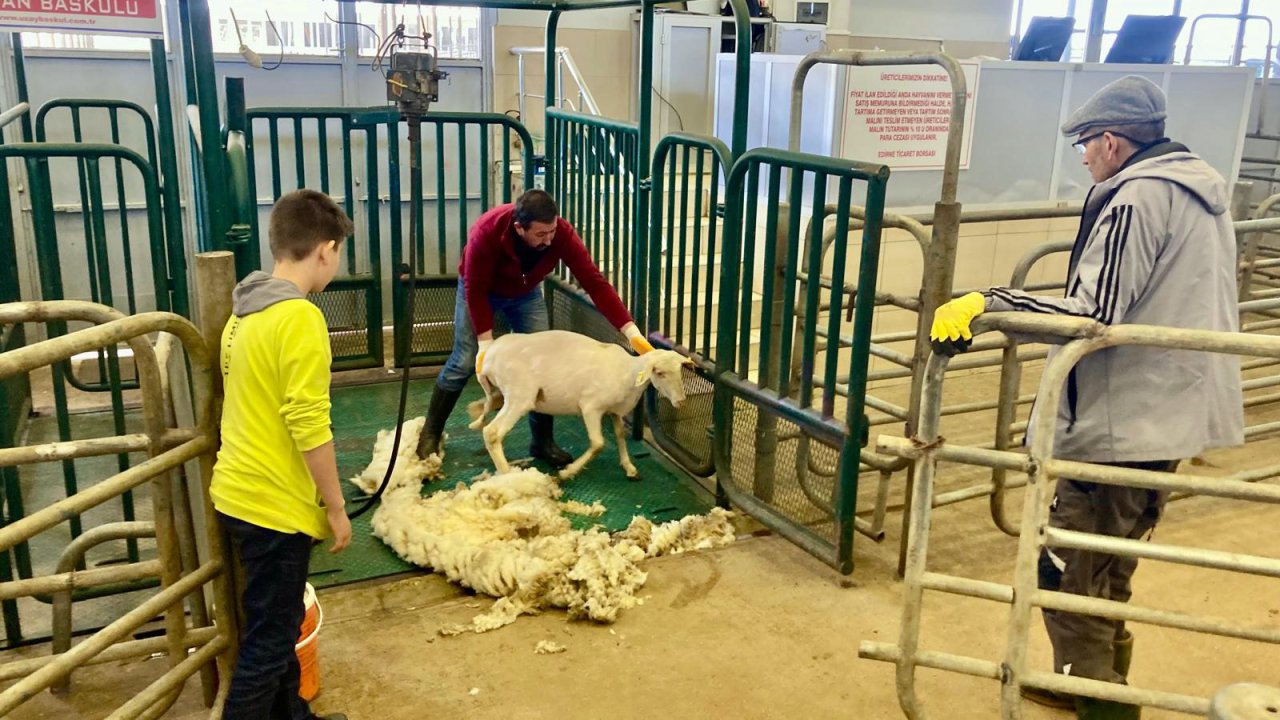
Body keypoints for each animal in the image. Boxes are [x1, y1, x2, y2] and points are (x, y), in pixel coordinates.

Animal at [468, 330, 691, 476]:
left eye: (679, 370)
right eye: (659, 373)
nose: (681, 402)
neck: (628, 373)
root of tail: (488, 357)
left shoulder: (614, 411)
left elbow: (619, 435)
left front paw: (628, 466)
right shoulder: (591, 407)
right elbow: (598, 443)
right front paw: (568, 472)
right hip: (519, 396)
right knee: (492, 433)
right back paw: (508, 474)